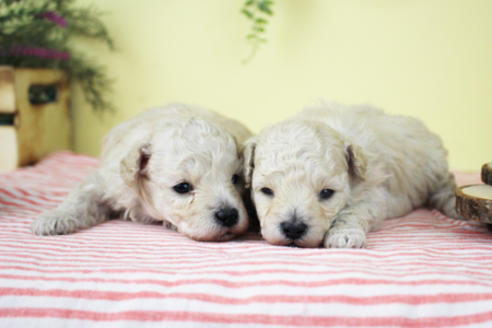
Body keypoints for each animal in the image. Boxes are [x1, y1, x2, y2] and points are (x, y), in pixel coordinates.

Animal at [32, 103, 252, 241]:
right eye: (182, 187)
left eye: (235, 178)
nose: (228, 215)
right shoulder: (109, 180)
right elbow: (81, 196)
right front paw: (54, 218)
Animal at [245, 102, 458, 249]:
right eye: (266, 190)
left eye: (326, 193)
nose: (293, 228)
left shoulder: (371, 193)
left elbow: (351, 212)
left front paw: (344, 235)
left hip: (433, 166)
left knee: (445, 184)